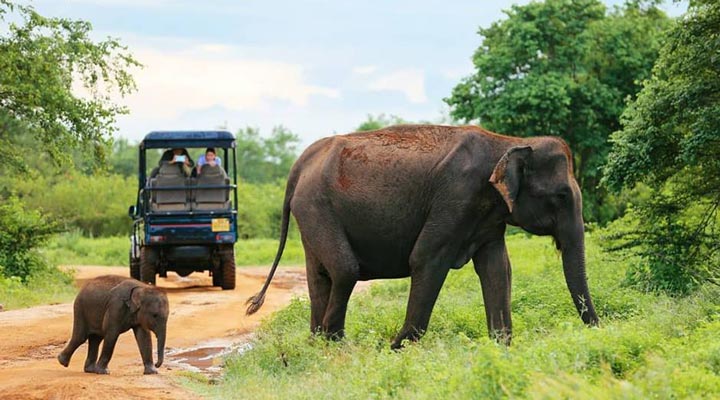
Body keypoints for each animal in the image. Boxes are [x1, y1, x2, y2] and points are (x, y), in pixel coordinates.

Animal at [246, 124, 596, 346]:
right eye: (562, 196)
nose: (598, 329)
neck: (509, 141)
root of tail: (301, 162)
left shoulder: (487, 215)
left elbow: (498, 269)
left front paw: (501, 348)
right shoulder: (455, 197)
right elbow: (426, 259)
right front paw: (395, 348)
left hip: (310, 211)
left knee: (321, 275)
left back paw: (317, 345)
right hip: (317, 207)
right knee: (345, 270)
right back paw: (336, 346)